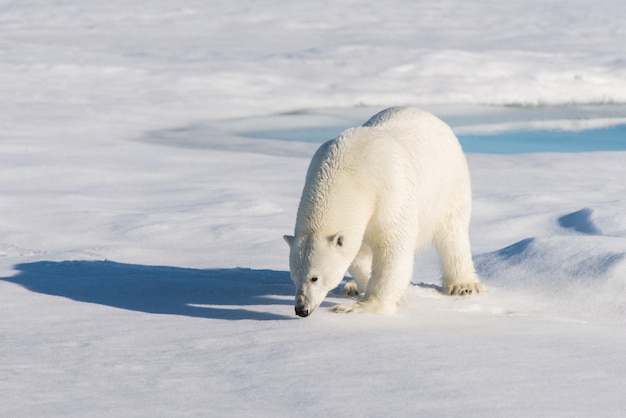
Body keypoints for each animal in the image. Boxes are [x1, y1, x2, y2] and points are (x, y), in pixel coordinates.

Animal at [284, 105, 482, 316]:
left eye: (314, 277)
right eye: (294, 277)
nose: (301, 309)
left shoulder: (389, 192)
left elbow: (393, 246)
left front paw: (361, 305)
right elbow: (357, 252)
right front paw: (362, 288)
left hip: (449, 183)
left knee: (452, 233)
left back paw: (463, 285)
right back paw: (350, 287)